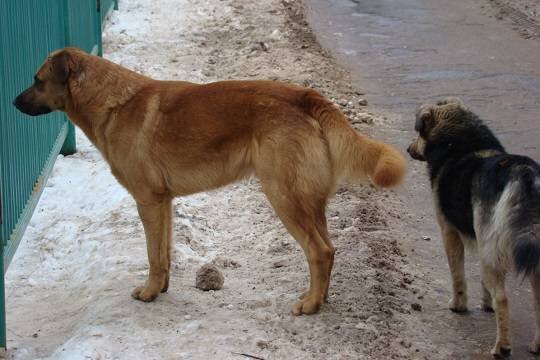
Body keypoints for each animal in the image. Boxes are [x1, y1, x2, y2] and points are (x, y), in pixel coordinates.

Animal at [12, 47, 404, 316]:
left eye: (37, 80)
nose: (14, 103)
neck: (112, 102)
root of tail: (305, 96)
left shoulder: (147, 201)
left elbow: (153, 255)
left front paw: (149, 293)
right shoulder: (163, 203)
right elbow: (164, 253)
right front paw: (162, 288)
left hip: (284, 199)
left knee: (319, 251)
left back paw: (309, 305)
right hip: (308, 202)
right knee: (329, 250)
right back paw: (320, 299)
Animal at [410, 97, 540, 356]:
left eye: (418, 132)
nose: (408, 149)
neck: (461, 144)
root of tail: (524, 174)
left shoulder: (449, 232)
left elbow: (457, 275)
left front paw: (458, 305)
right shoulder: (484, 244)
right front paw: (485, 304)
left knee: (503, 299)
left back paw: (502, 346)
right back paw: (536, 345)